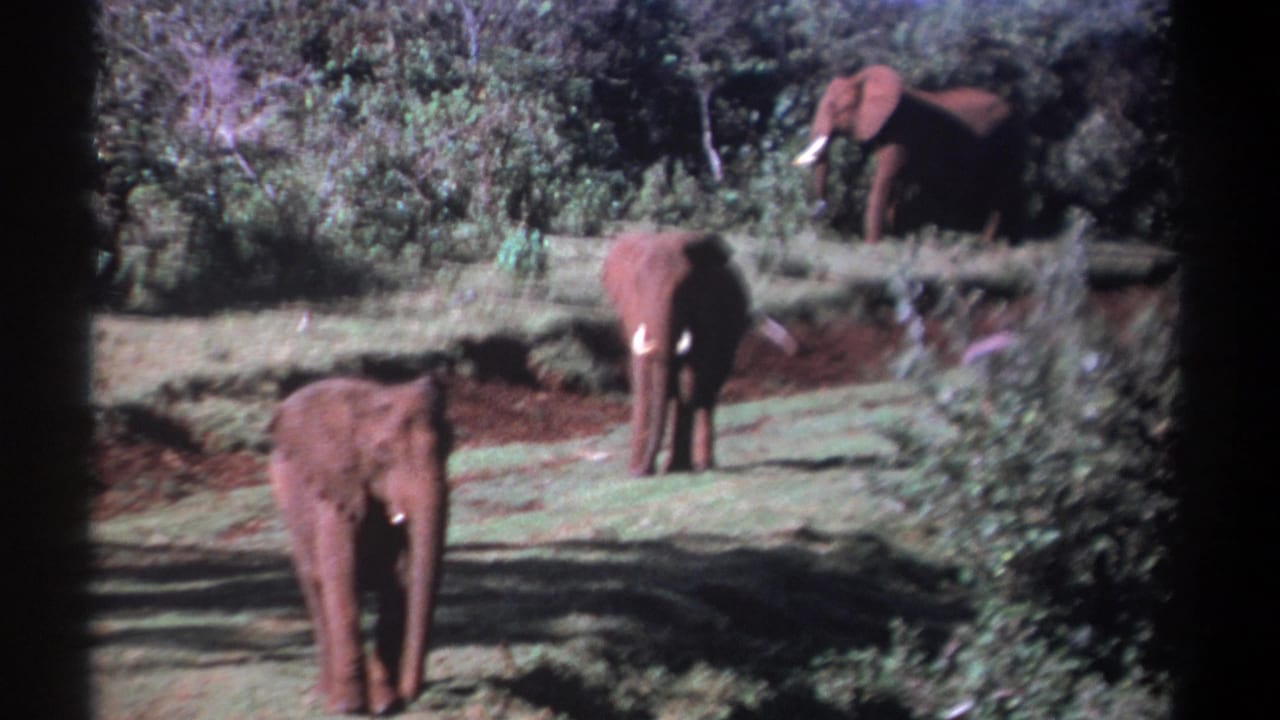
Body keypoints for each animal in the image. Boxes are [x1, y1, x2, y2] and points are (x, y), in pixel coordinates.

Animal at [268, 375, 452, 715]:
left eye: (449, 446)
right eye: (382, 451)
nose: (412, 694)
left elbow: (398, 581)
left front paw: (385, 705)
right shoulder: (333, 492)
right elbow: (340, 576)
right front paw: (348, 708)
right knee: (315, 588)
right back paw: (326, 694)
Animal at [601, 230, 749, 476]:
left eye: (686, 288)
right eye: (637, 285)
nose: (641, 471)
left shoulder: (710, 311)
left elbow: (693, 374)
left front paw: (674, 468)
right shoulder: (630, 313)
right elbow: (642, 376)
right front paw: (638, 471)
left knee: (708, 386)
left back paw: (702, 464)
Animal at [793, 65, 1024, 244]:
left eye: (836, 108)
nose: (819, 210)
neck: (862, 79)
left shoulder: (902, 133)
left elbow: (884, 181)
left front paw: (873, 246)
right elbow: (895, 186)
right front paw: (894, 236)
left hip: (1009, 140)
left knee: (1000, 192)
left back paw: (985, 244)